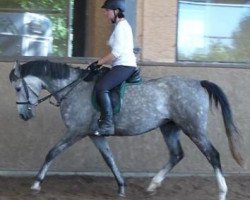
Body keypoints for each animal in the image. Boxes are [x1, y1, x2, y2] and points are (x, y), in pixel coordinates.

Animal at [9, 59, 244, 200]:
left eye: (19, 88)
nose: (24, 115)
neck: (72, 89)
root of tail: (198, 83)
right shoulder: (95, 135)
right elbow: (109, 159)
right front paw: (121, 187)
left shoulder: (76, 131)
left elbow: (52, 152)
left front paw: (36, 184)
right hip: (169, 127)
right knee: (176, 154)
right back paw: (152, 185)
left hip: (193, 127)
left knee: (212, 154)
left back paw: (222, 192)